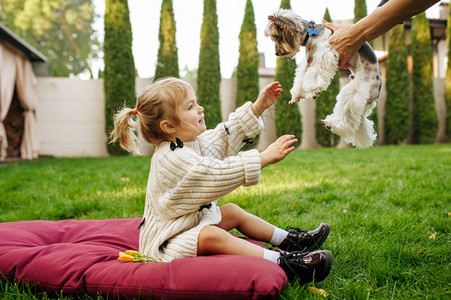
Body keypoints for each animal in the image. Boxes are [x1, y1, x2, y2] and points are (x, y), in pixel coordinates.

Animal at [266, 9, 384, 149]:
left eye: (278, 37)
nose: (276, 53)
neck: (310, 35)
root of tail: (376, 93)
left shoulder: (325, 53)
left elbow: (316, 73)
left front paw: (314, 88)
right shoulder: (309, 60)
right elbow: (301, 77)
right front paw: (297, 96)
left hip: (357, 90)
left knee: (347, 117)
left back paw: (330, 124)